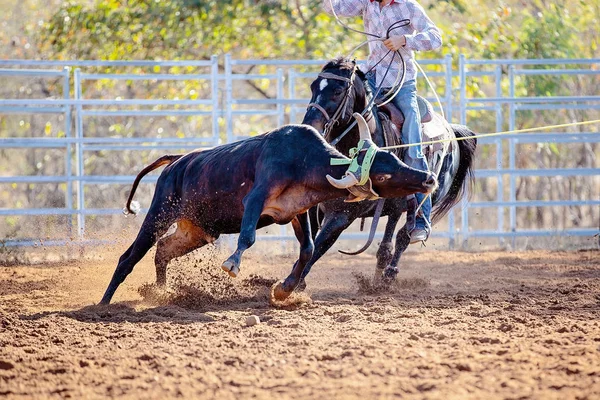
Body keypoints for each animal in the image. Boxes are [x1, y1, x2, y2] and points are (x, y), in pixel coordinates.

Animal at [298, 56, 476, 286]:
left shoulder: (342, 215)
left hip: (430, 196)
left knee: (404, 236)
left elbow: (318, 246)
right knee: (387, 244)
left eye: (338, 90)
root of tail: (451, 131)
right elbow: (309, 243)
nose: (310, 125)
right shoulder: (312, 207)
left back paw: (390, 272)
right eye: (313, 87)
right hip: (396, 206)